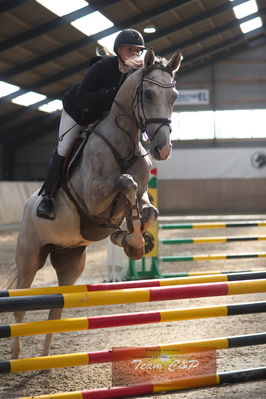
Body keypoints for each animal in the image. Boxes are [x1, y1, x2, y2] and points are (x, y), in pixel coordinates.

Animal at [9, 47, 182, 360]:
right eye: (148, 95)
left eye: (174, 96)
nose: (162, 149)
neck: (124, 142)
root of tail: (28, 205)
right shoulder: (93, 197)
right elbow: (126, 182)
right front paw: (131, 240)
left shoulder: (141, 196)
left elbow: (148, 211)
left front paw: (130, 240)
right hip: (29, 257)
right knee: (21, 308)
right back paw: (16, 354)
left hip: (70, 262)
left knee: (55, 309)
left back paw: (45, 359)